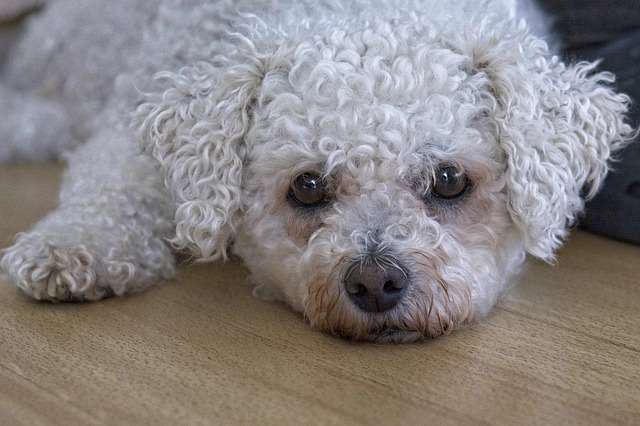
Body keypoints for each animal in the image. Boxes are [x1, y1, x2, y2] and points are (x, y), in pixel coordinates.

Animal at [0, 0, 632, 340]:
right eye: (307, 187)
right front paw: (73, 246)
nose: (375, 281)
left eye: (449, 180)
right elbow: (109, 185)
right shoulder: (128, 119)